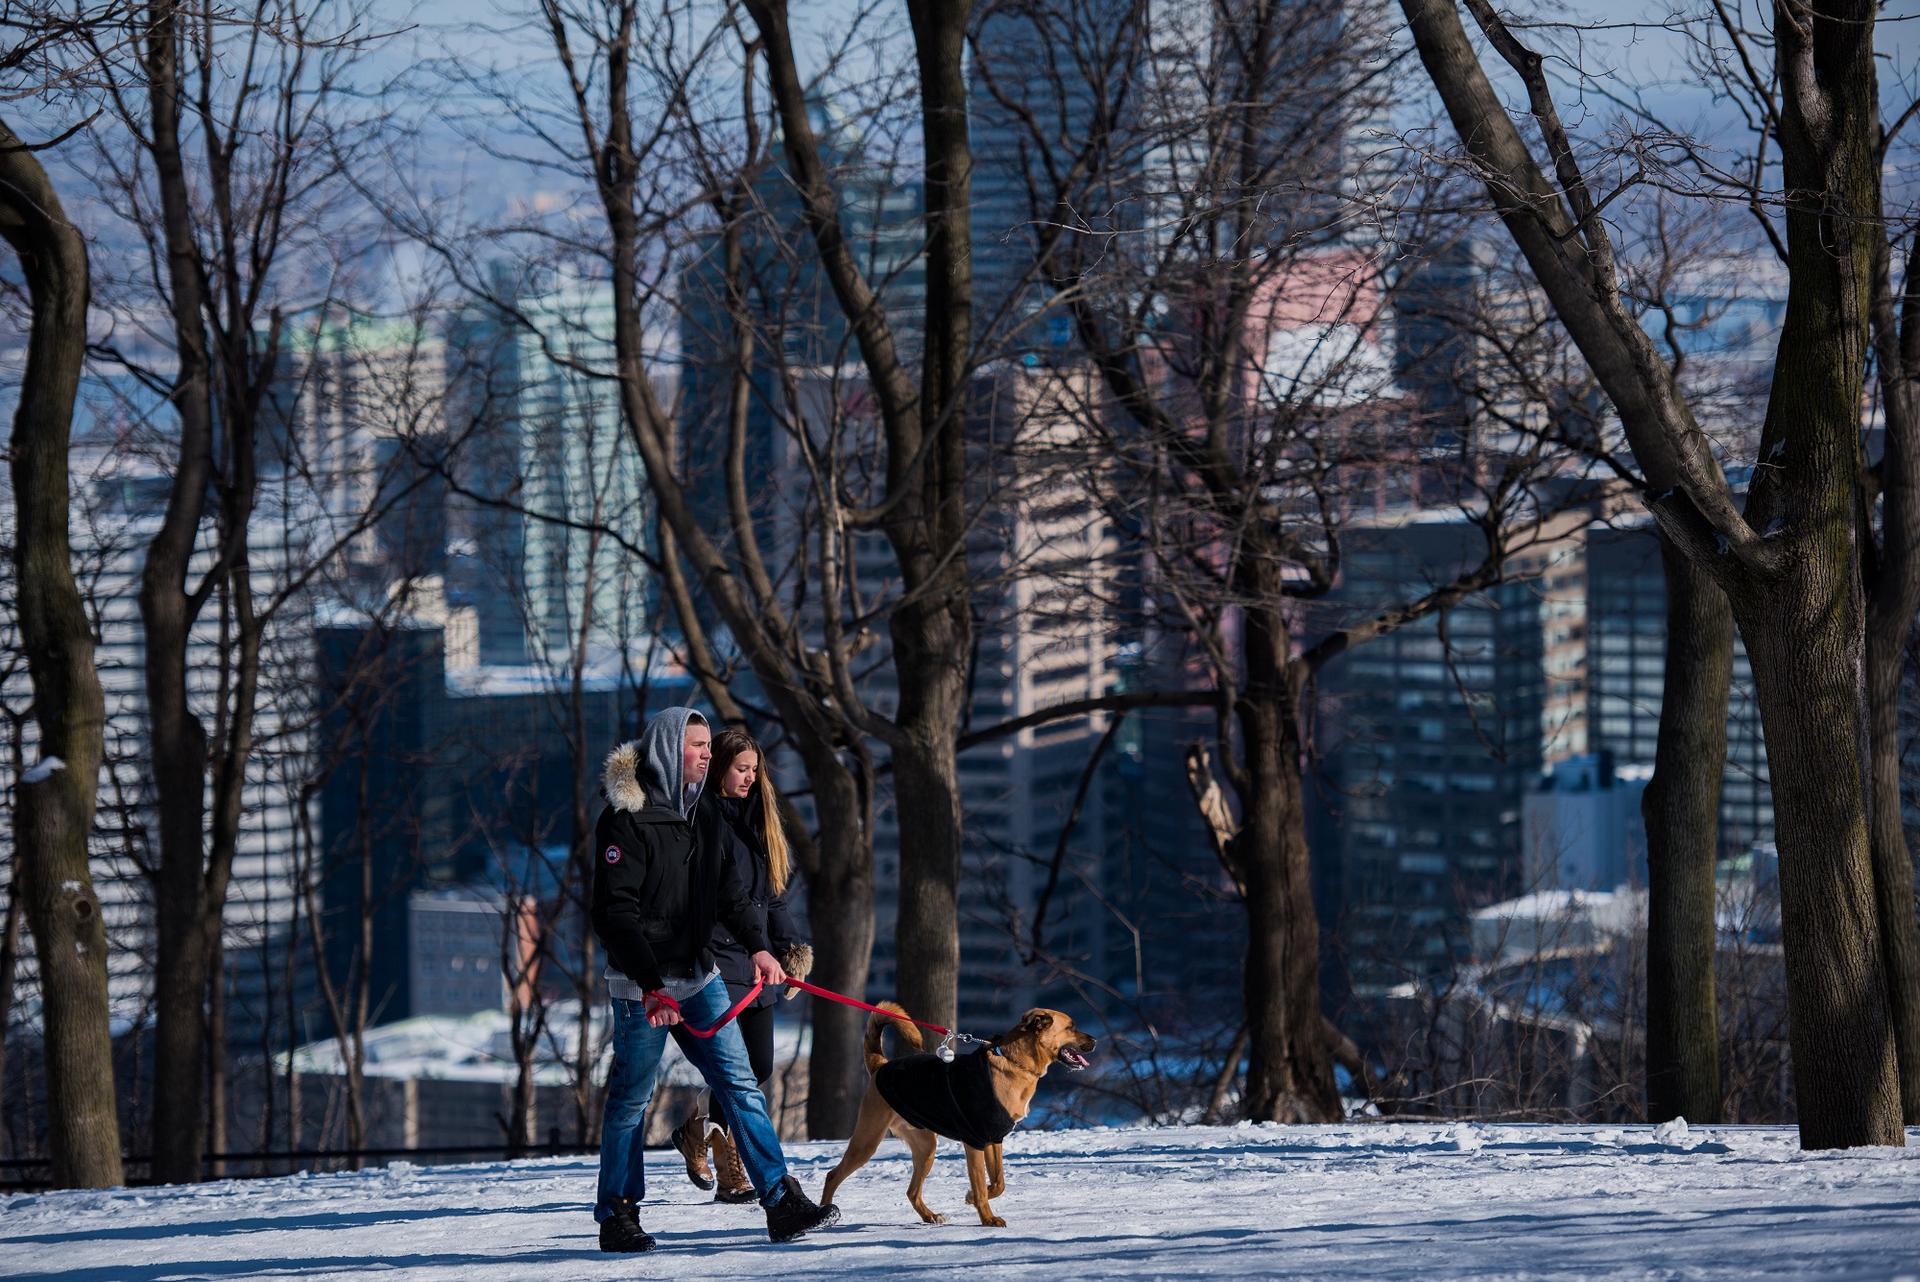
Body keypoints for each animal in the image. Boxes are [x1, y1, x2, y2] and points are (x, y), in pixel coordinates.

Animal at [817, 997, 1098, 1220]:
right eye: (1071, 1027)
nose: (1095, 1040)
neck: (1015, 1062)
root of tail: (881, 1065)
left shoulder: (993, 1139)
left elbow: (998, 1183)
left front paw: (971, 1198)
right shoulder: (974, 1142)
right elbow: (982, 1185)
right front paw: (987, 1218)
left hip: (926, 1148)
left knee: (912, 1191)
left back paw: (930, 1216)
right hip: (867, 1141)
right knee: (832, 1175)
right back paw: (825, 1213)